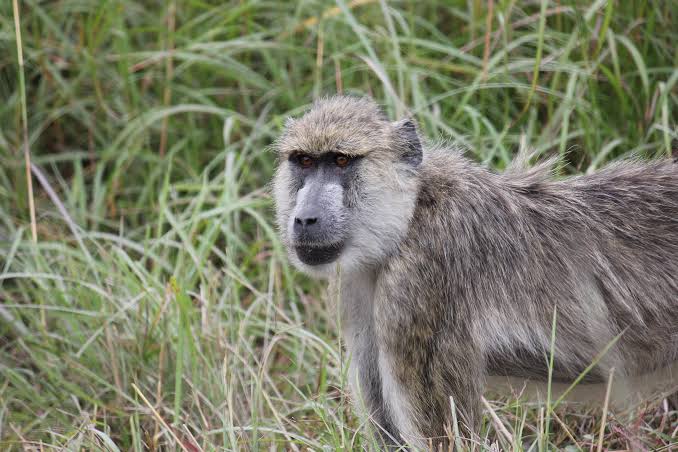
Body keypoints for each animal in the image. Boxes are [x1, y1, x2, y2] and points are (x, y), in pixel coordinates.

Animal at [272, 95, 678, 449]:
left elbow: (445, 440)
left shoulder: (419, 284)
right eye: (304, 161)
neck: (409, 216)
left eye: (341, 161)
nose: (305, 219)